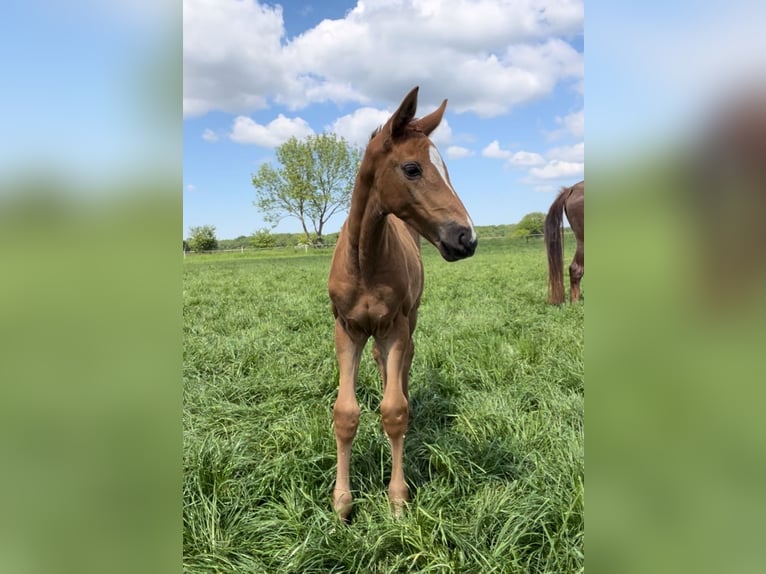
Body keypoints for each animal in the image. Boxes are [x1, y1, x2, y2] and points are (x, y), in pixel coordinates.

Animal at [330, 86, 480, 520]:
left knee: (404, 368)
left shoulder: (395, 326)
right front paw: (342, 503)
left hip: (409, 321)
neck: (365, 261)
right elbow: (345, 413)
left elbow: (394, 412)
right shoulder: (346, 329)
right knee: (382, 366)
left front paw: (397, 500)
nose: (467, 238)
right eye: (412, 168)